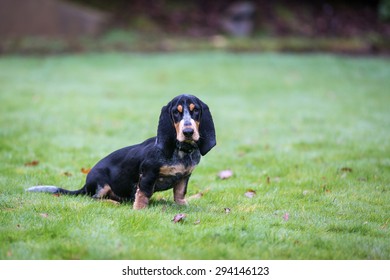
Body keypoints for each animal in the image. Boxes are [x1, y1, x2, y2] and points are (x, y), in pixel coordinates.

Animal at [27, 95, 216, 209]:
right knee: (95, 198)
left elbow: (179, 194)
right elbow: (143, 194)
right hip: (101, 183)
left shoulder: (184, 177)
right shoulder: (147, 174)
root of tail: (85, 185)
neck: (182, 151)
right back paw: (113, 202)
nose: (188, 132)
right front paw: (139, 210)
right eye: (176, 113)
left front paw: (183, 207)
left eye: (195, 110)